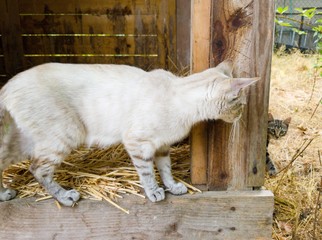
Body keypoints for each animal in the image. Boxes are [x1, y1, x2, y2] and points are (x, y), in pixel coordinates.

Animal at [0, 60, 258, 204]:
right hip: (65, 135)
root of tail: (8, 85)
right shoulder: (137, 142)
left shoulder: (162, 146)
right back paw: (65, 197)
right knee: (37, 169)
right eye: (241, 105)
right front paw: (155, 193)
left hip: (24, 141)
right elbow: (147, 173)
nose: (241, 116)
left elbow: (166, 170)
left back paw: (4, 195)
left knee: (5, 161)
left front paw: (173, 188)